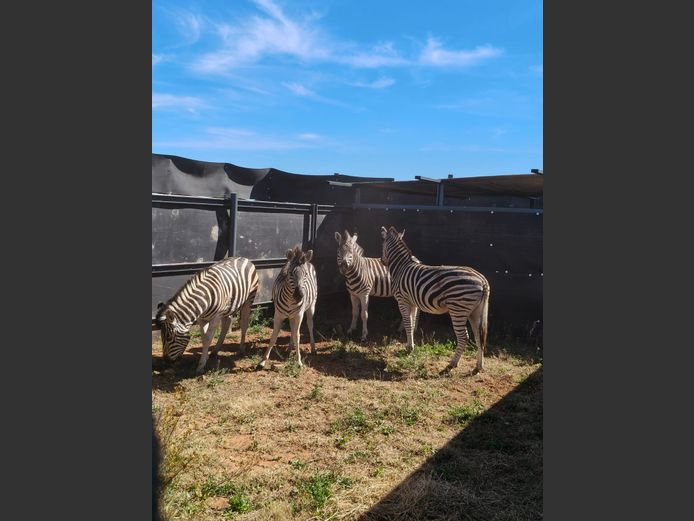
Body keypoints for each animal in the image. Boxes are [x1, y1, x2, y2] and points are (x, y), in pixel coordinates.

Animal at [380, 226, 491, 373]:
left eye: (382, 245)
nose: (382, 260)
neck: (401, 267)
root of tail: (482, 280)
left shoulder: (402, 300)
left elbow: (408, 324)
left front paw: (409, 348)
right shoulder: (413, 303)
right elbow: (412, 324)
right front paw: (410, 346)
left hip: (458, 309)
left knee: (463, 337)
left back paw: (451, 364)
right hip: (475, 311)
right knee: (479, 337)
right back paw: (479, 366)